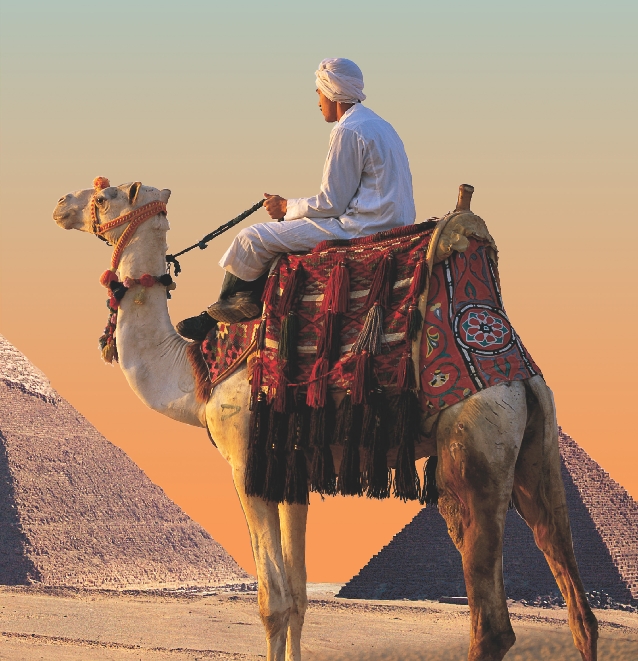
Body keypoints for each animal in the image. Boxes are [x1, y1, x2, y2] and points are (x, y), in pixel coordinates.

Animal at [51, 180, 600, 660]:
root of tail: (509, 366)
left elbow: (272, 603)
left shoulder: (246, 463)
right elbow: (297, 599)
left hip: (473, 451)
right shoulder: (289, 470)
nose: (61, 204)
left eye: (104, 194)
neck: (196, 370)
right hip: (536, 448)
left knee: (491, 626)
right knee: (577, 601)